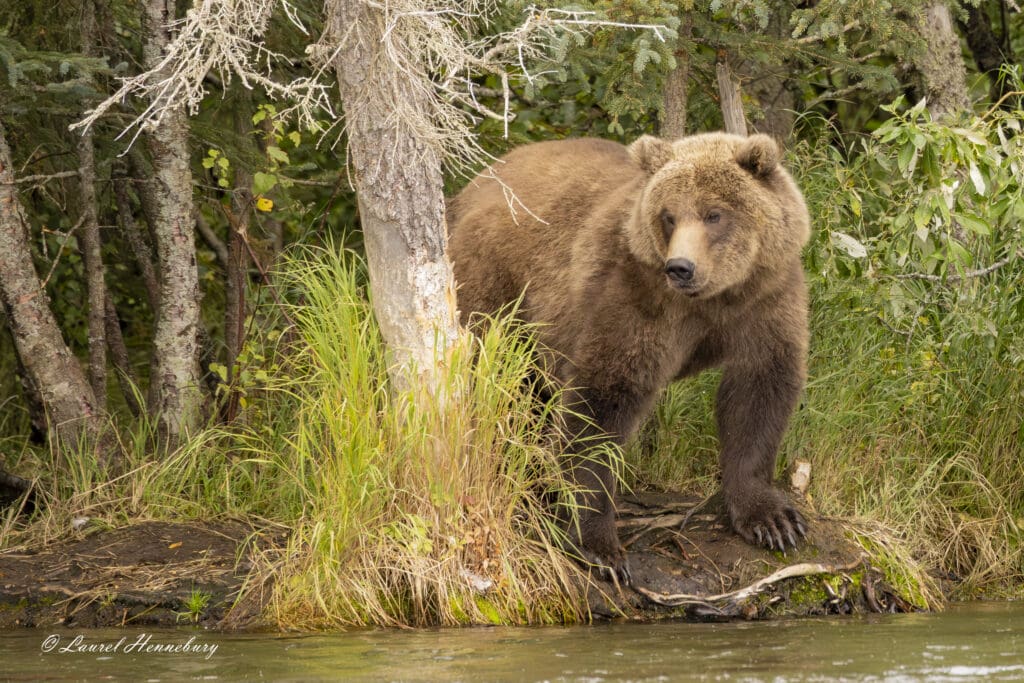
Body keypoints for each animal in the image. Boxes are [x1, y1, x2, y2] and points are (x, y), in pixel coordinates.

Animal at [446, 133, 806, 581]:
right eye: (669, 215)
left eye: (714, 214)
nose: (680, 267)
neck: (712, 301)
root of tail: (473, 185)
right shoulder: (635, 295)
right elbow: (604, 400)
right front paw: (601, 546)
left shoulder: (765, 296)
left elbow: (759, 389)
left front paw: (771, 519)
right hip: (499, 286)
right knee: (501, 384)